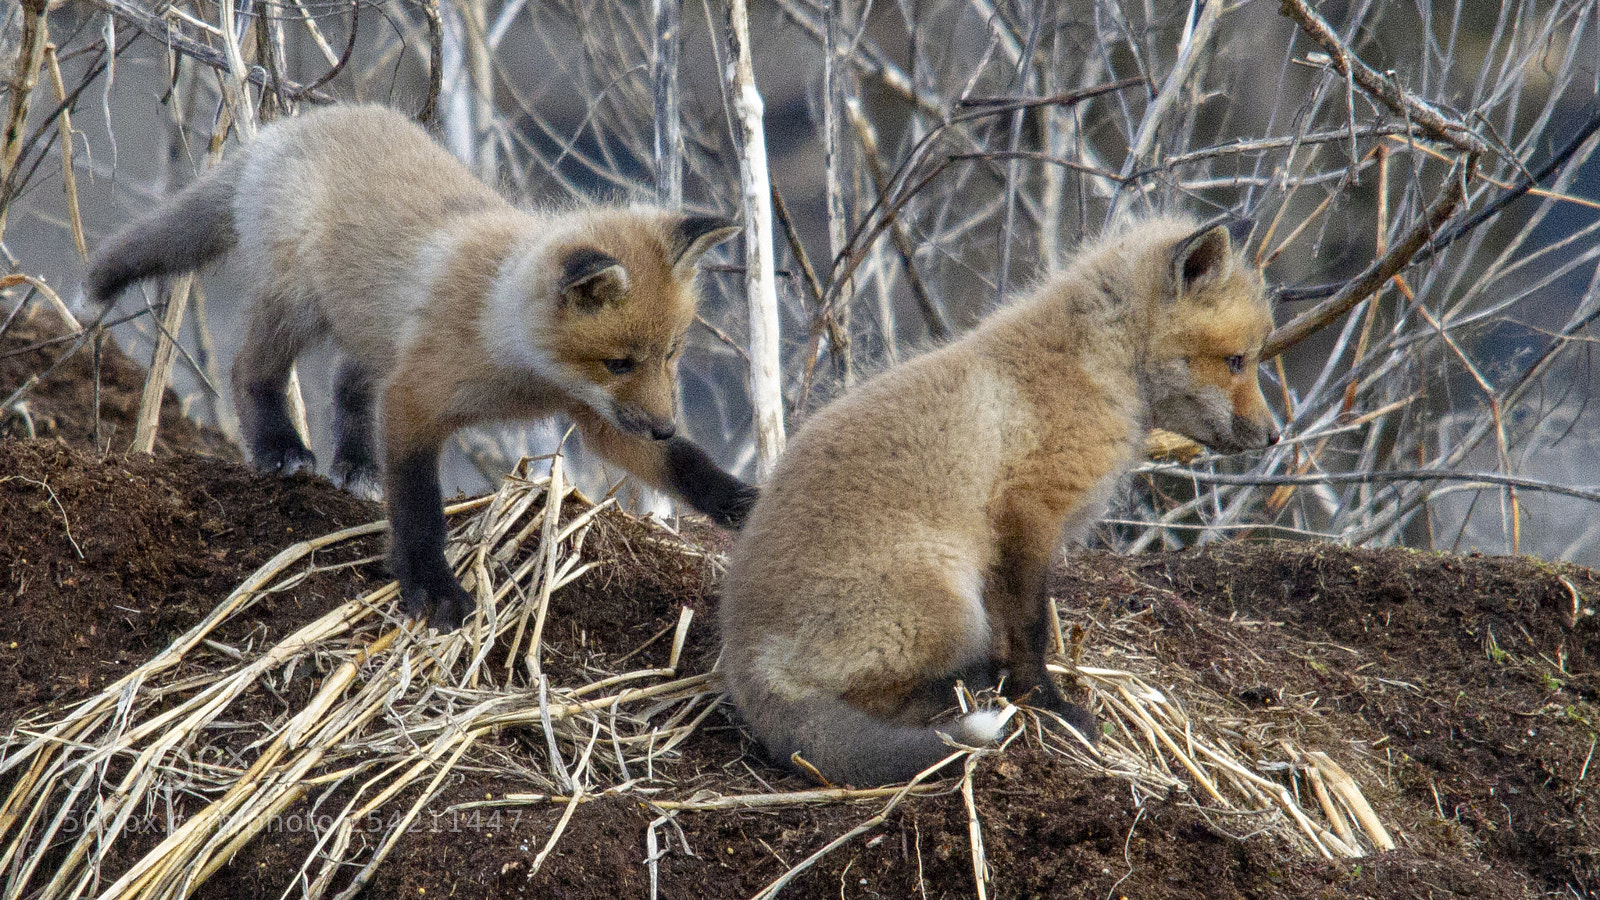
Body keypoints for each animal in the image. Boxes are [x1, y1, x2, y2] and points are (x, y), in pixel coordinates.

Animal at [86, 103, 756, 631]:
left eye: (672, 352)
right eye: (619, 361)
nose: (665, 425)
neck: (508, 345)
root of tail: (288, 128)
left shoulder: (598, 416)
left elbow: (687, 468)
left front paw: (743, 502)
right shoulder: (414, 399)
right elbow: (417, 507)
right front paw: (432, 588)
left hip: (367, 332)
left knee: (346, 385)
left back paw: (356, 461)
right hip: (297, 302)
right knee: (250, 369)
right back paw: (280, 446)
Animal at [719, 215, 1279, 786]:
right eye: (1237, 360)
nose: (1274, 436)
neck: (1093, 369)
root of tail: (745, 657)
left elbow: (1016, 636)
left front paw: (1028, 694)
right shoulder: (1027, 513)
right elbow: (1029, 632)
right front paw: (1052, 708)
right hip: (947, 602)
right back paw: (965, 696)